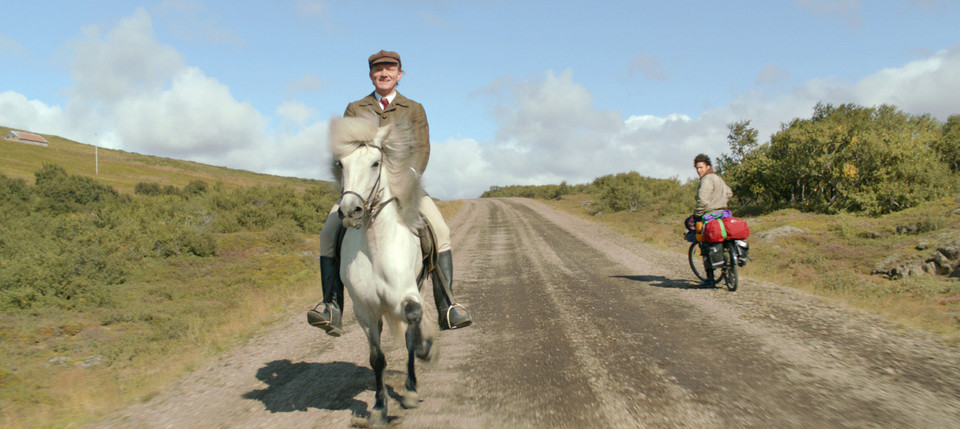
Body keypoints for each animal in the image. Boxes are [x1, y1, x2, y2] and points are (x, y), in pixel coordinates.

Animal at [330, 114, 436, 424]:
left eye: (375, 163)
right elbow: (377, 358)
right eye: (340, 164)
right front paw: (378, 409)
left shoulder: (408, 293)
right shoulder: (365, 311)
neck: (376, 246)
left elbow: (413, 324)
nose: (350, 211)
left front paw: (424, 354)